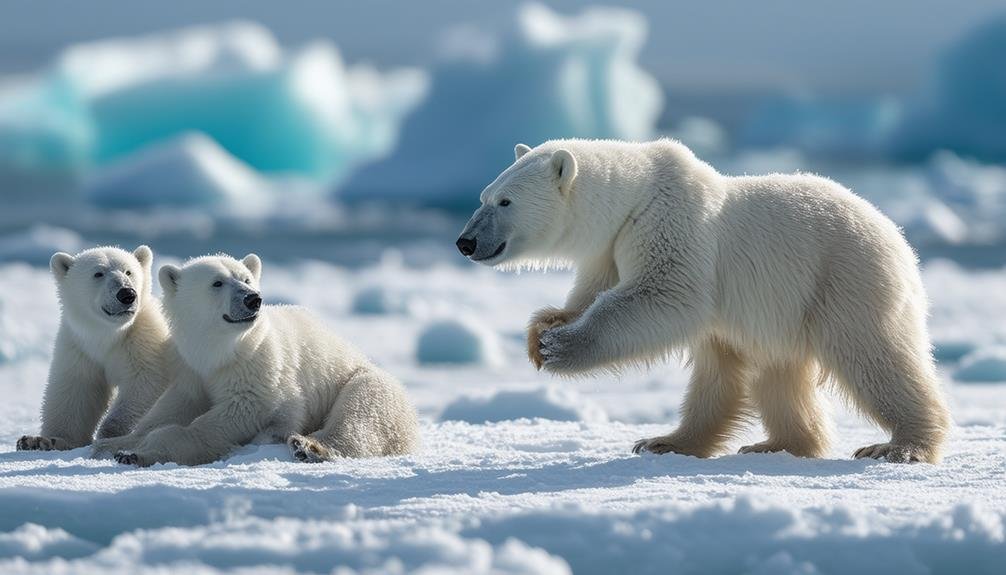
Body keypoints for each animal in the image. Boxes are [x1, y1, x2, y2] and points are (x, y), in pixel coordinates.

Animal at [16, 245, 171, 452]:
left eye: (128, 271)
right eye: (98, 273)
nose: (127, 294)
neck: (108, 336)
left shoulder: (143, 341)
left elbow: (145, 382)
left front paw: (108, 434)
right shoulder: (80, 349)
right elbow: (75, 393)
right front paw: (41, 440)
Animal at [94, 253, 420, 464]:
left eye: (246, 278)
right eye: (217, 283)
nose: (253, 298)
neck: (220, 351)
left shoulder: (257, 367)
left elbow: (234, 413)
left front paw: (139, 453)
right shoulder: (191, 371)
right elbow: (171, 408)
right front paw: (112, 445)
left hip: (369, 384)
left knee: (360, 411)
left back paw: (309, 447)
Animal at [456, 141, 949, 464]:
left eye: (505, 201)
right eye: (483, 197)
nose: (466, 242)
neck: (632, 200)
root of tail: (898, 238)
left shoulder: (670, 228)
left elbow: (662, 296)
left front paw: (561, 346)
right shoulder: (611, 250)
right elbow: (592, 293)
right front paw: (543, 330)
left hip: (844, 279)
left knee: (873, 356)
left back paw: (900, 445)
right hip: (784, 311)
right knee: (753, 373)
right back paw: (701, 442)